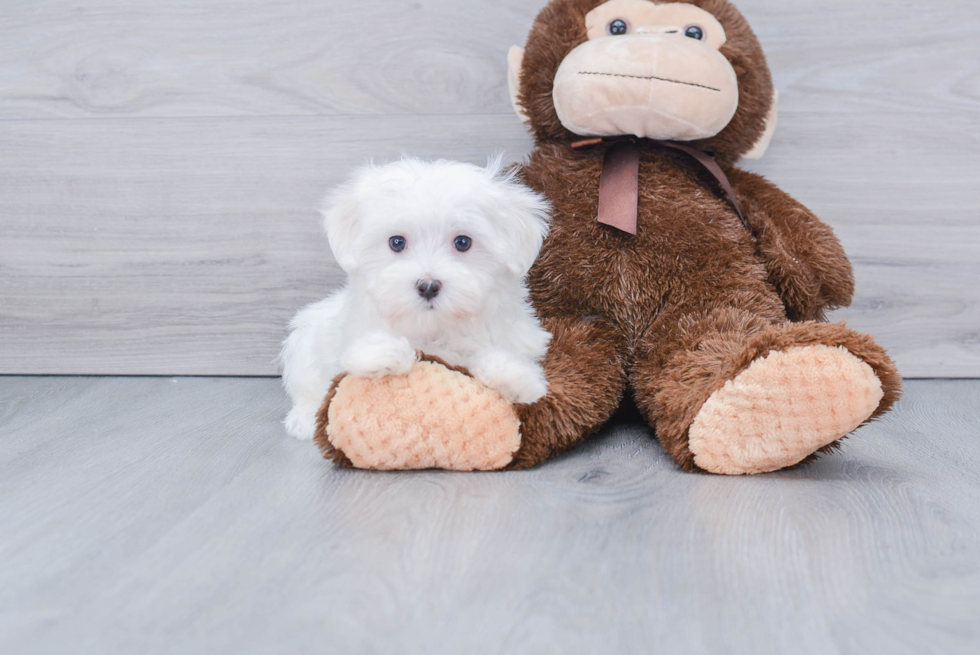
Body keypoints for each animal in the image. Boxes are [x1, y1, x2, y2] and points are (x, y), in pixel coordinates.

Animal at [280, 156, 556, 440]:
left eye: (463, 242)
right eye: (397, 242)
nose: (428, 286)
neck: (433, 328)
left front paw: (516, 378)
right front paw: (384, 354)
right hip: (304, 346)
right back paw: (304, 418)